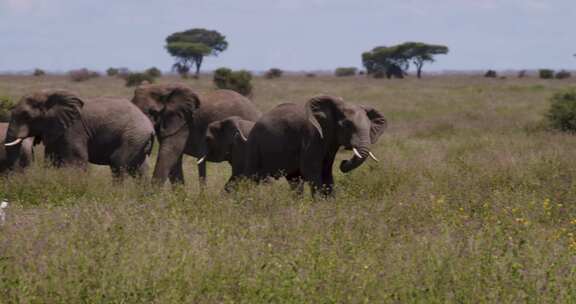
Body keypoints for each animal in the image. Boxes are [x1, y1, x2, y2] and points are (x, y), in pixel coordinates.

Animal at [5, 88, 153, 178]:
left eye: (26, 116)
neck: (48, 94)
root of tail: (150, 127)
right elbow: (52, 159)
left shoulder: (74, 128)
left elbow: (75, 161)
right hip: (138, 140)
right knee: (140, 168)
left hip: (132, 136)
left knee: (118, 163)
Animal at [243, 95, 388, 197]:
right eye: (346, 125)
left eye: (370, 127)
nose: (343, 162)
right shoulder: (312, 136)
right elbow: (311, 170)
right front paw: (318, 204)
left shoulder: (330, 142)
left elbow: (327, 171)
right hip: (254, 144)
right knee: (251, 177)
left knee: (293, 180)